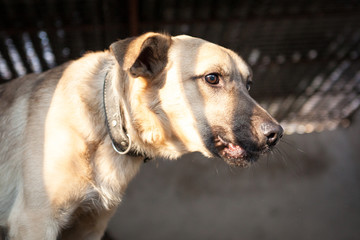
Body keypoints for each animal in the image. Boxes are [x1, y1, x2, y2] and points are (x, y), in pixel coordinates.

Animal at [0, 32, 282, 240]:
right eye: (212, 78)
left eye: (248, 85)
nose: (277, 134)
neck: (109, 118)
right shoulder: (35, 220)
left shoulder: (89, 227)